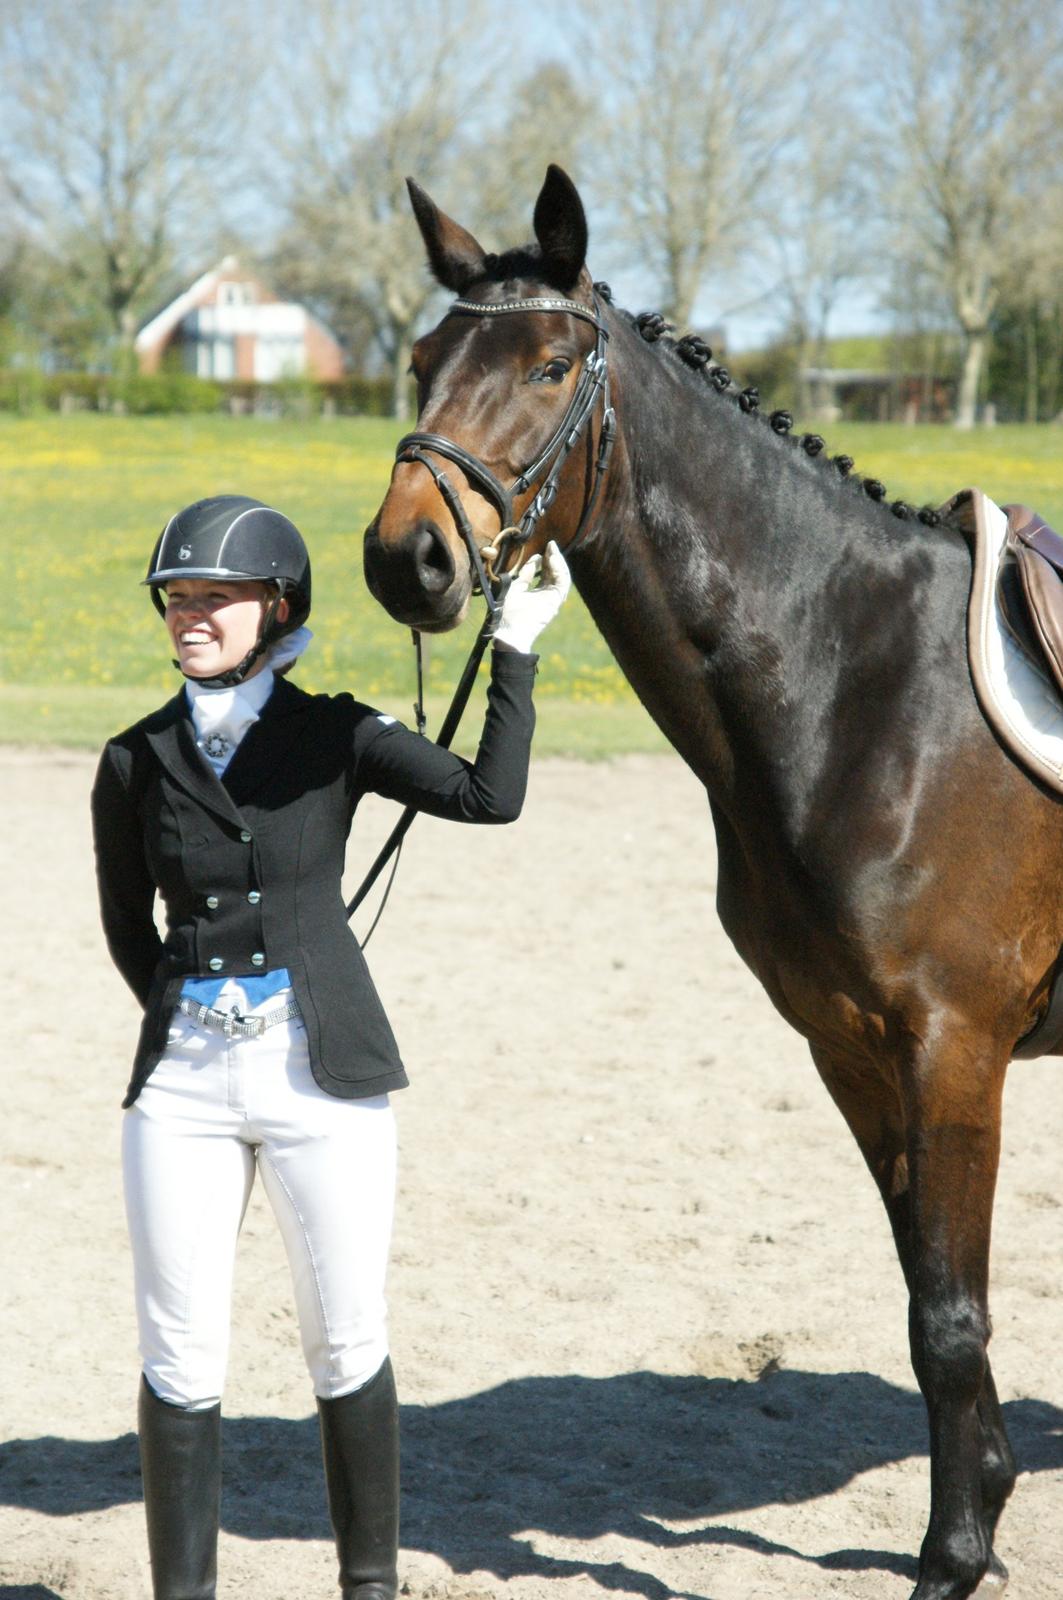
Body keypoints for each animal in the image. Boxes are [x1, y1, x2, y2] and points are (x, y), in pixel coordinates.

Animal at [361, 165, 1056, 1600]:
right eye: (419, 361)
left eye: (550, 362)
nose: (408, 558)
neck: (859, 683)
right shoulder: (850, 1051)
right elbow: (924, 1300)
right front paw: (976, 1515)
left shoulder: (953, 1048)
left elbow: (951, 1315)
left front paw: (953, 1556)